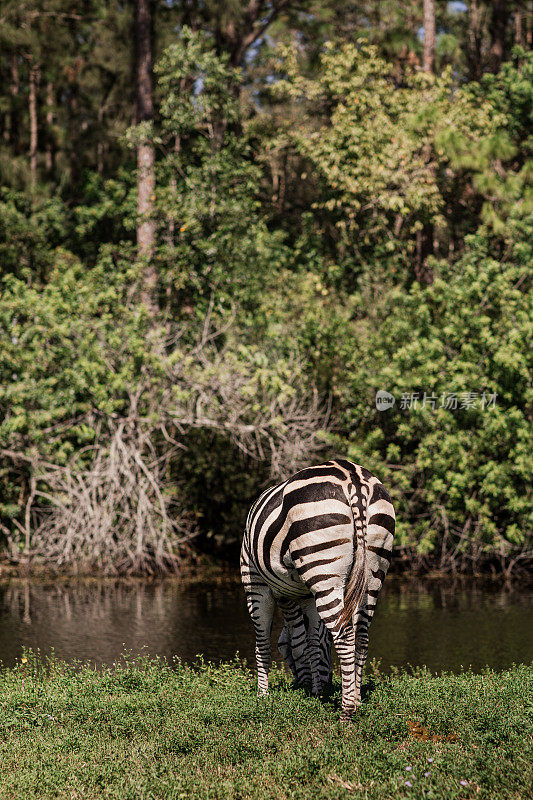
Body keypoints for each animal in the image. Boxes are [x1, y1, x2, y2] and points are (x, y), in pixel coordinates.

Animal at [239, 460, 392, 720]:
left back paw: (347, 711)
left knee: (345, 635)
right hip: (373, 571)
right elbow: (311, 641)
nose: (328, 682)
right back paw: (358, 699)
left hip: (323, 568)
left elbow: (271, 643)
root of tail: (352, 476)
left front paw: (262, 696)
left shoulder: (260, 585)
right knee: (361, 635)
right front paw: (317, 692)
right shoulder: (306, 596)